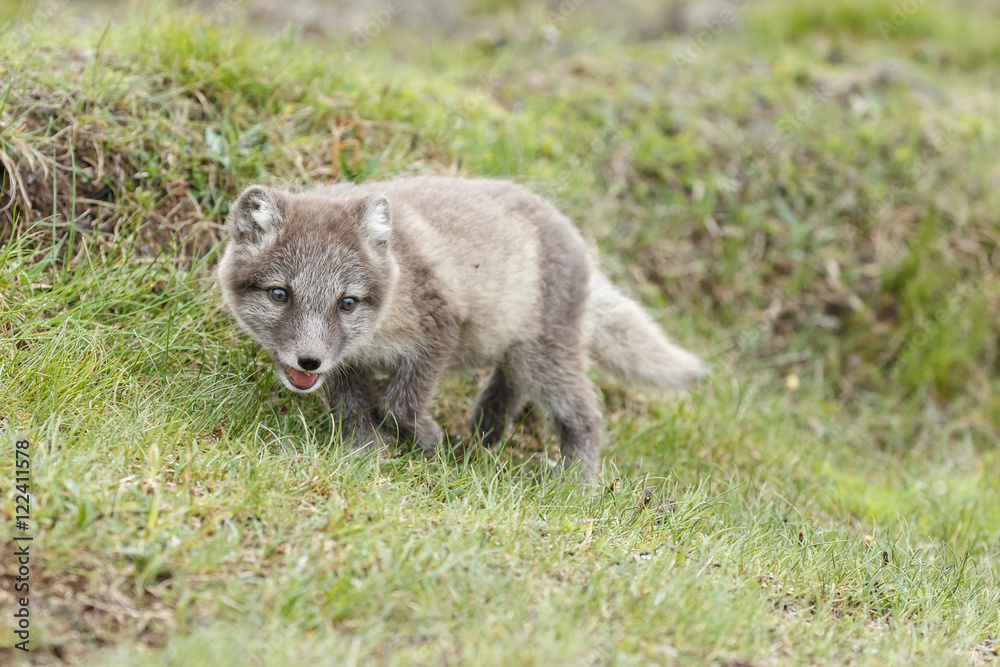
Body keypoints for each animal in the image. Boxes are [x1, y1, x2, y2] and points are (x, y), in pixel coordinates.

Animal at [217, 176, 706, 479]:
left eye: (347, 303)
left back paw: (573, 480)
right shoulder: (346, 363)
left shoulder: (440, 329)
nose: (308, 360)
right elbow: (351, 408)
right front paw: (366, 452)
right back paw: (485, 436)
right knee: (508, 388)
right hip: (518, 353)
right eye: (280, 294)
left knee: (586, 412)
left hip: (544, 356)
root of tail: (580, 240)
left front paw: (426, 443)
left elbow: (399, 404)